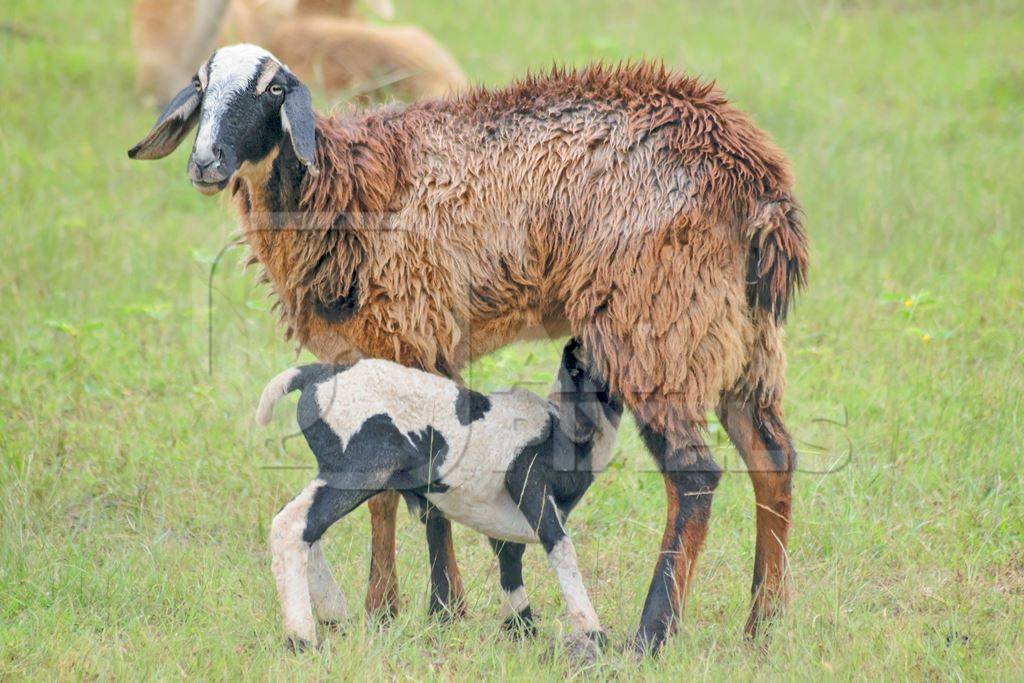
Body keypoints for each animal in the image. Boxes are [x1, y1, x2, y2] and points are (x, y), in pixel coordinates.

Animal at [258, 339, 622, 655]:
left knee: (306, 524)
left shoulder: (503, 517)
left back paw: (332, 613)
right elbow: (560, 546)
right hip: (360, 469)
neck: (563, 434)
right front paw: (592, 632)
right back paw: (302, 639)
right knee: (293, 523)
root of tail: (317, 374)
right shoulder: (528, 481)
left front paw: (520, 629)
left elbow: (509, 557)